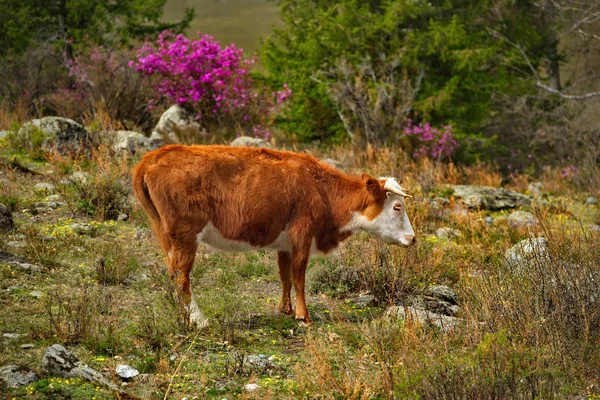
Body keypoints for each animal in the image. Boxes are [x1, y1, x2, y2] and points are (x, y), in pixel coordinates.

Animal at [134, 145, 414, 326]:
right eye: (397, 207)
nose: (412, 238)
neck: (320, 187)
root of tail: (153, 156)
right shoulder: (303, 235)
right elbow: (299, 276)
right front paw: (303, 316)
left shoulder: (285, 244)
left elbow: (285, 276)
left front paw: (285, 309)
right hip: (186, 236)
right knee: (182, 276)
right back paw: (199, 320)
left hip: (168, 237)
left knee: (173, 275)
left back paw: (182, 316)